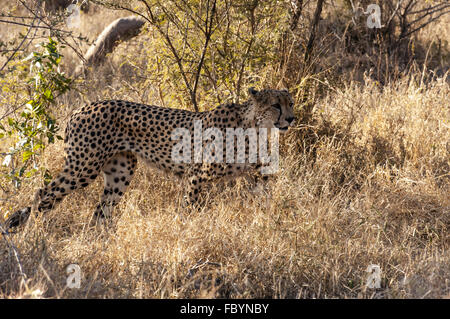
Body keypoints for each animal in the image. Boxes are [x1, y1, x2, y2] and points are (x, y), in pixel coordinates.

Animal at [7, 88, 298, 230]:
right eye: (276, 105)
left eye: (291, 103)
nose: (292, 118)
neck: (253, 126)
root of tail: (82, 107)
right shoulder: (196, 175)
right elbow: (189, 208)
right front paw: (184, 231)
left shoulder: (257, 174)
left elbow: (268, 198)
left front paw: (273, 223)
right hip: (83, 167)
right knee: (42, 193)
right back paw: (33, 233)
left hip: (121, 171)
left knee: (101, 210)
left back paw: (99, 240)